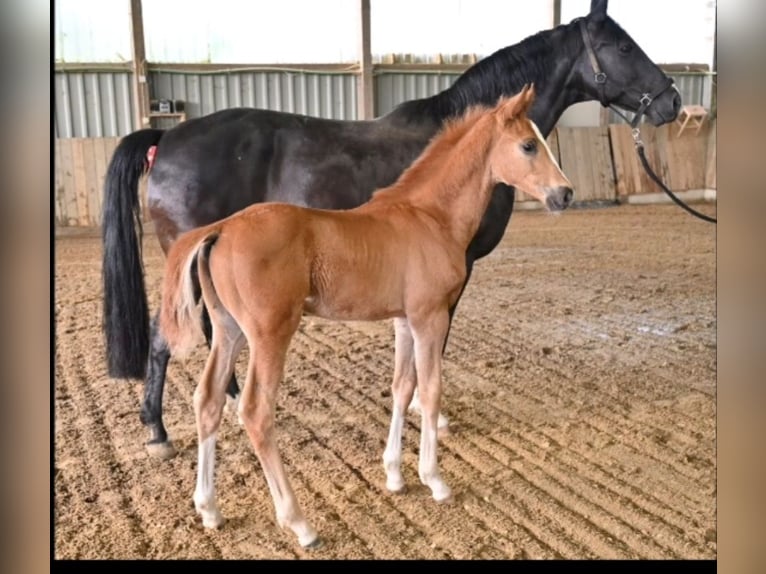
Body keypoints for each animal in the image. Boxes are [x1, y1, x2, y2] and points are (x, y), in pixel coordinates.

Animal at [102, 0, 684, 460]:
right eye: (623, 45)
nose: (673, 102)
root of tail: (166, 139)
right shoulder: (454, 271)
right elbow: (437, 343)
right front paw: (436, 415)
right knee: (166, 337)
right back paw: (158, 432)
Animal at [159, 86, 572, 548]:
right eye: (528, 145)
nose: (565, 194)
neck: (430, 217)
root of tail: (221, 229)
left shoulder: (405, 320)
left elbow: (402, 387)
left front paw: (394, 475)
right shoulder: (430, 317)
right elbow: (431, 391)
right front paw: (435, 480)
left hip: (227, 330)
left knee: (207, 400)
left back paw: (209, 509)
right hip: (270, 333)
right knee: (255, 412)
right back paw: (299, 523)